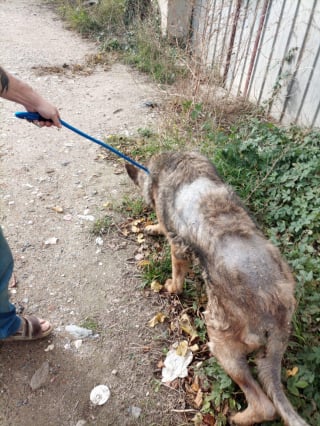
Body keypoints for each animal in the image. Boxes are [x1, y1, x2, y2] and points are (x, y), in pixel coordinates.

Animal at [125, 151, 310, 424]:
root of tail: (276, 312)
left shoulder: (177, 247)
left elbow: (176, 274)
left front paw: (170, 286)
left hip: (222, 343)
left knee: (264, 405)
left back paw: (238, 418)